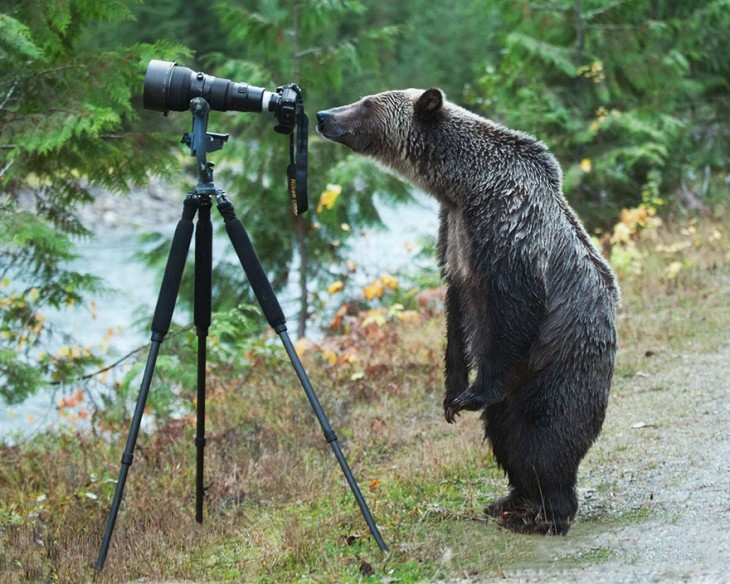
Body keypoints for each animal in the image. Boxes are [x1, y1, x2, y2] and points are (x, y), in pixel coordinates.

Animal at [316, 88, 616, 532]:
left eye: (367, 102)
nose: (323, 115)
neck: (462, 187)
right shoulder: (453, 236)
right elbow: (456, 316)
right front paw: (451, 395)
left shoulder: (506, 229)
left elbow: (513, 310)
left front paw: (470, 395)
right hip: (521, 386)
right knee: (504, 434)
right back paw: (512, 499)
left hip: (558, 364)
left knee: (543, 435)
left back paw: (547, 512)